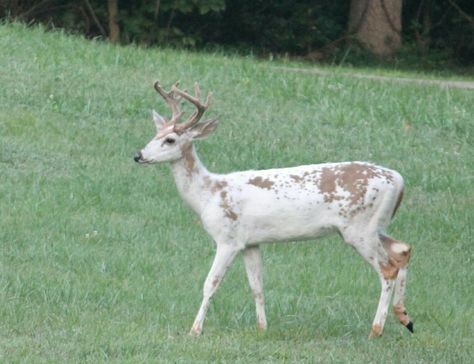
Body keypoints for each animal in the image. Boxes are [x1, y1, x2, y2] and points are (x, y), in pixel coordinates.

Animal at [133, 81, 414, 336]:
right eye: (154, 134)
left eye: (170, 139)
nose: (138, 155)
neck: (208, 194)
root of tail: (399, 180)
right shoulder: (251, 242)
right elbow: (257, 285)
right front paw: (262, 327)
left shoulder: (227, 238)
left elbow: (210, 283)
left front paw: (195, 330)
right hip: (374, 225)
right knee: (403, 249)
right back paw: (405, 318)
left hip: (360, 228)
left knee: (388, 268)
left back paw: (377, 329)